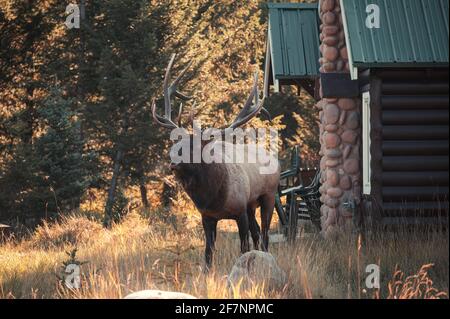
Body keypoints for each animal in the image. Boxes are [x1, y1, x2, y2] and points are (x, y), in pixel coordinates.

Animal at [152, 55, 278, 270]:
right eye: (176, 144)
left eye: (194, 148)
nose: (172, 164)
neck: (213, 197)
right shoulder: (207, 216)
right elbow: (208, 252)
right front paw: (207, 271)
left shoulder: (240, 210)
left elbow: (243, 247)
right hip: (252, 204)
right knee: (257, 233)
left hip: (268, 195)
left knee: (265, 234)